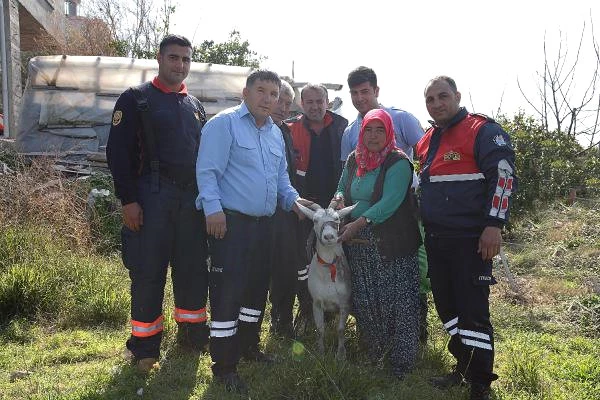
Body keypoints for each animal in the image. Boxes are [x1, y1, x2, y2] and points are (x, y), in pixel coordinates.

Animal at [296, 202, 356, 360]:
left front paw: (340, 355)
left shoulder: (345, 303)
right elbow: (320, 329)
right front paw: (320, 353)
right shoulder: (316, 303)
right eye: (315, 220)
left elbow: (340, 329)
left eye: (337, 219)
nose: (329, 236)